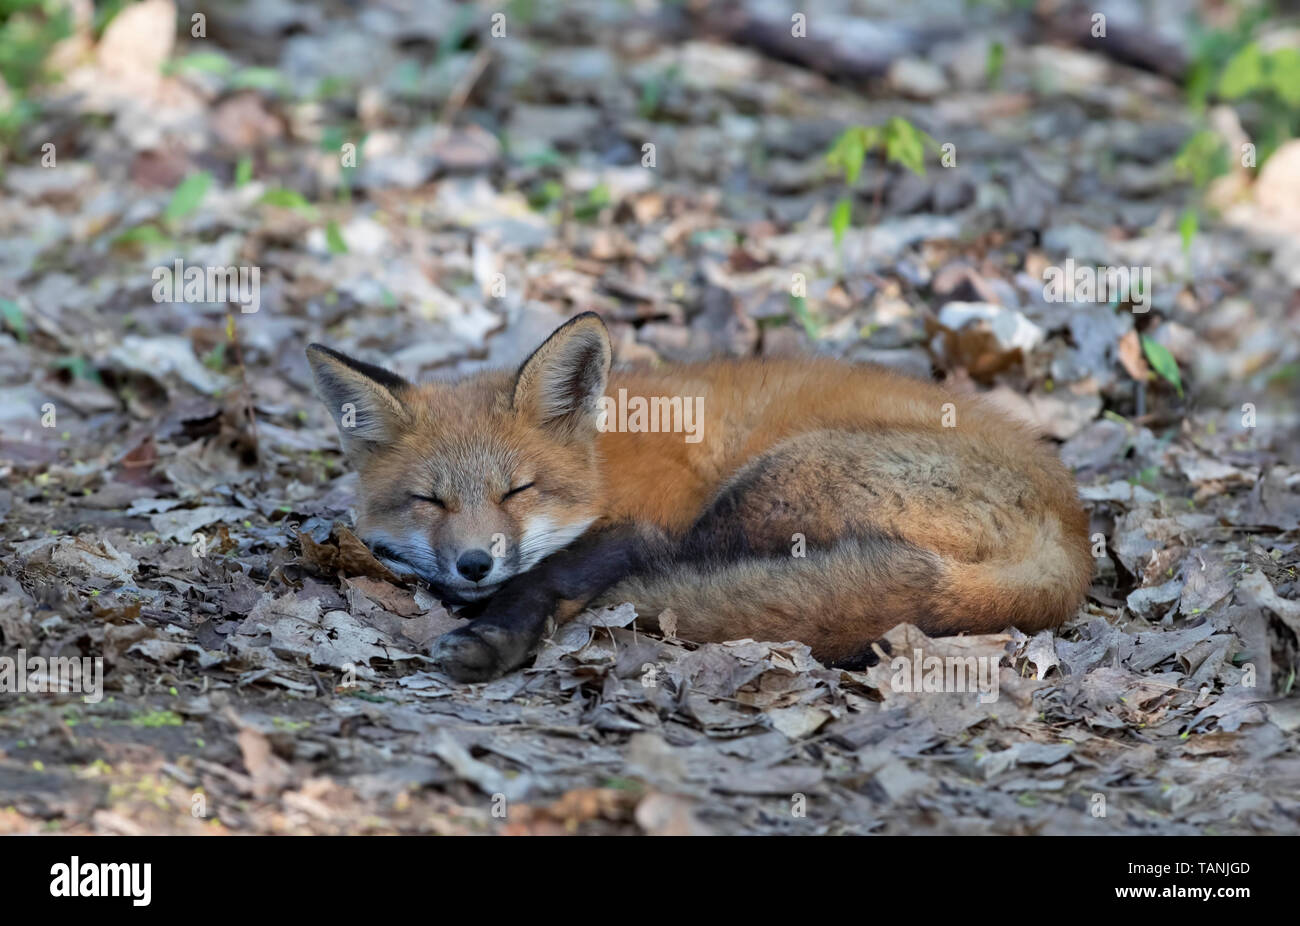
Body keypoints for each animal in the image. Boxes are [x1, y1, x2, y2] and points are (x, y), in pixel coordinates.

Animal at [309, 310, 1092, 681]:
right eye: (429, 501)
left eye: (517, 489)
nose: (474, 563)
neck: (603, 465)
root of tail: (1076, 542)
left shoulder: (648, 517)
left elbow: (561, 568)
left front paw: (494, 632)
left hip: (763, 490)